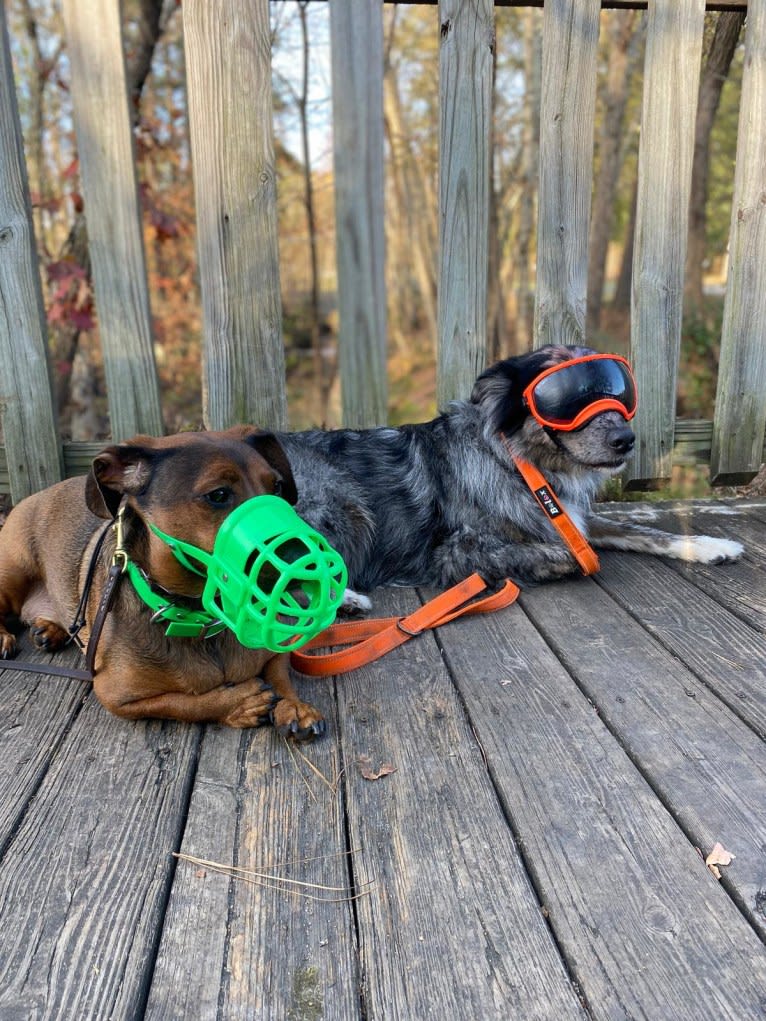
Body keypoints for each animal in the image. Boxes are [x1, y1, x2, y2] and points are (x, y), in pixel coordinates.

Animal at [0, 426, 326, 739]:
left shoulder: (275, 652)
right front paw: (240, 703)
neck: (196, 618)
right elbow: (184, 703)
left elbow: (280, 675)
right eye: (218, 494)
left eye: (277, 487)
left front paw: (295, 707)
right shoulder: (114, 694)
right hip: (13, 573)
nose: (310, 562)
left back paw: (50, 629)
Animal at [279, 345, 747, 596]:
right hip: (345, 507)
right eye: (563, 400)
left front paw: (709, 544)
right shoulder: (457, 550)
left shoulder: (573, 517)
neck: (518, 463)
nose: (626, 439)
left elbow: (638, 531)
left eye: (619, 392)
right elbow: (569, 555)